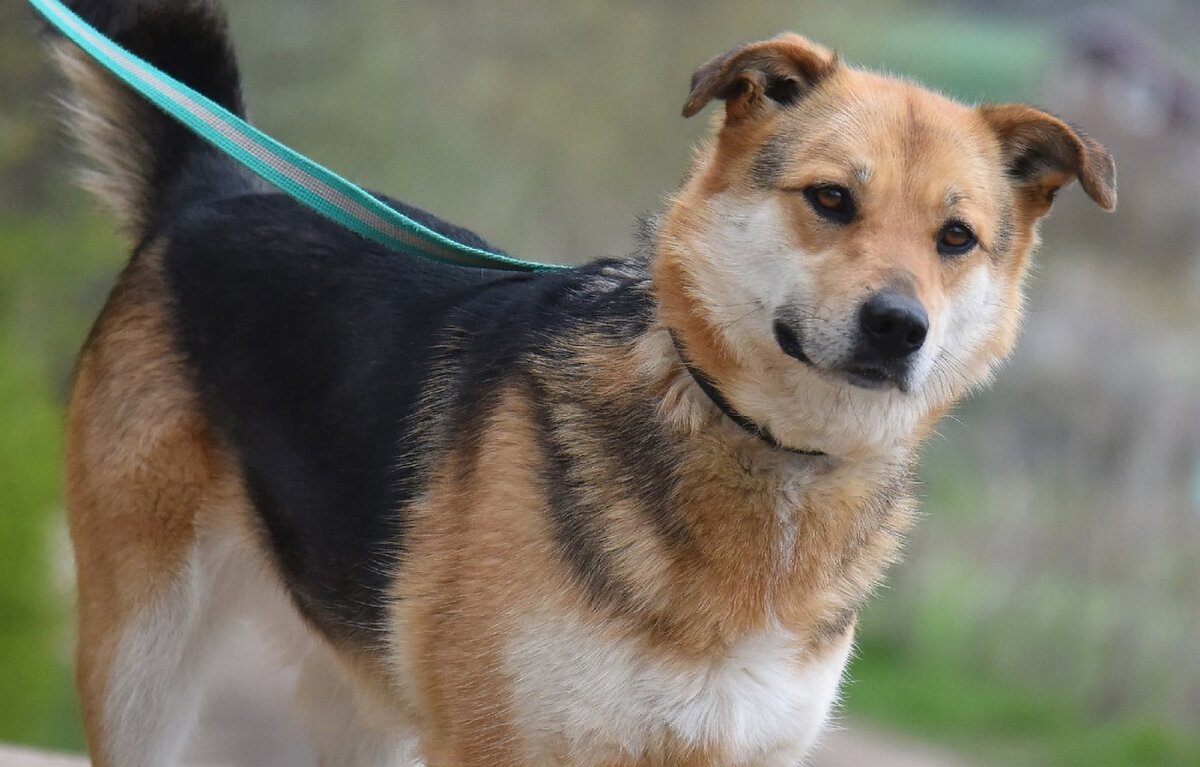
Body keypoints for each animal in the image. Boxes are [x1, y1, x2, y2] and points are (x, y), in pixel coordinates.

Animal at [46, 0, 1113, 763]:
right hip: (145, 665)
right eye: (831, 200)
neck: (761, 446)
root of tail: (213, 185)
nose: (899, 327)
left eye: (956, 238)